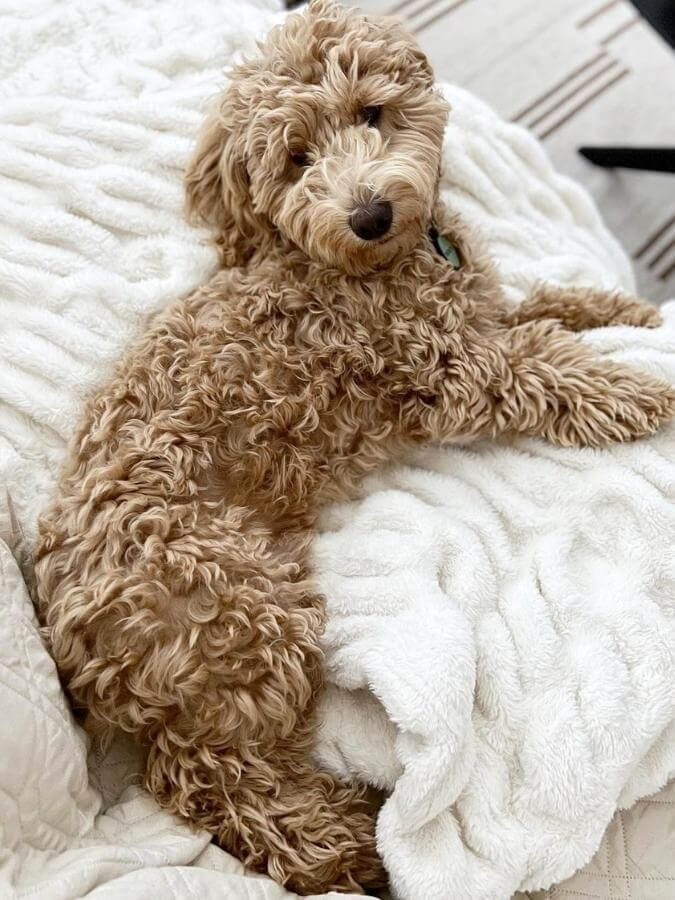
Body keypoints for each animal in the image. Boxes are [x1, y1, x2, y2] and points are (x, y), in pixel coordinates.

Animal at [35, 0, 675, 892]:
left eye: (371, 114)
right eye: (296, 159)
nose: (369, 214)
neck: (381, 262)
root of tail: (71, 639)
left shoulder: (478, 313)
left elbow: (539, 310)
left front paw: (619, 309)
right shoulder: (449, 368)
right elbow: (542, 365)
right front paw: (635, 389)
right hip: (247, 618)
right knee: (211, 779)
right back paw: (342, 844)